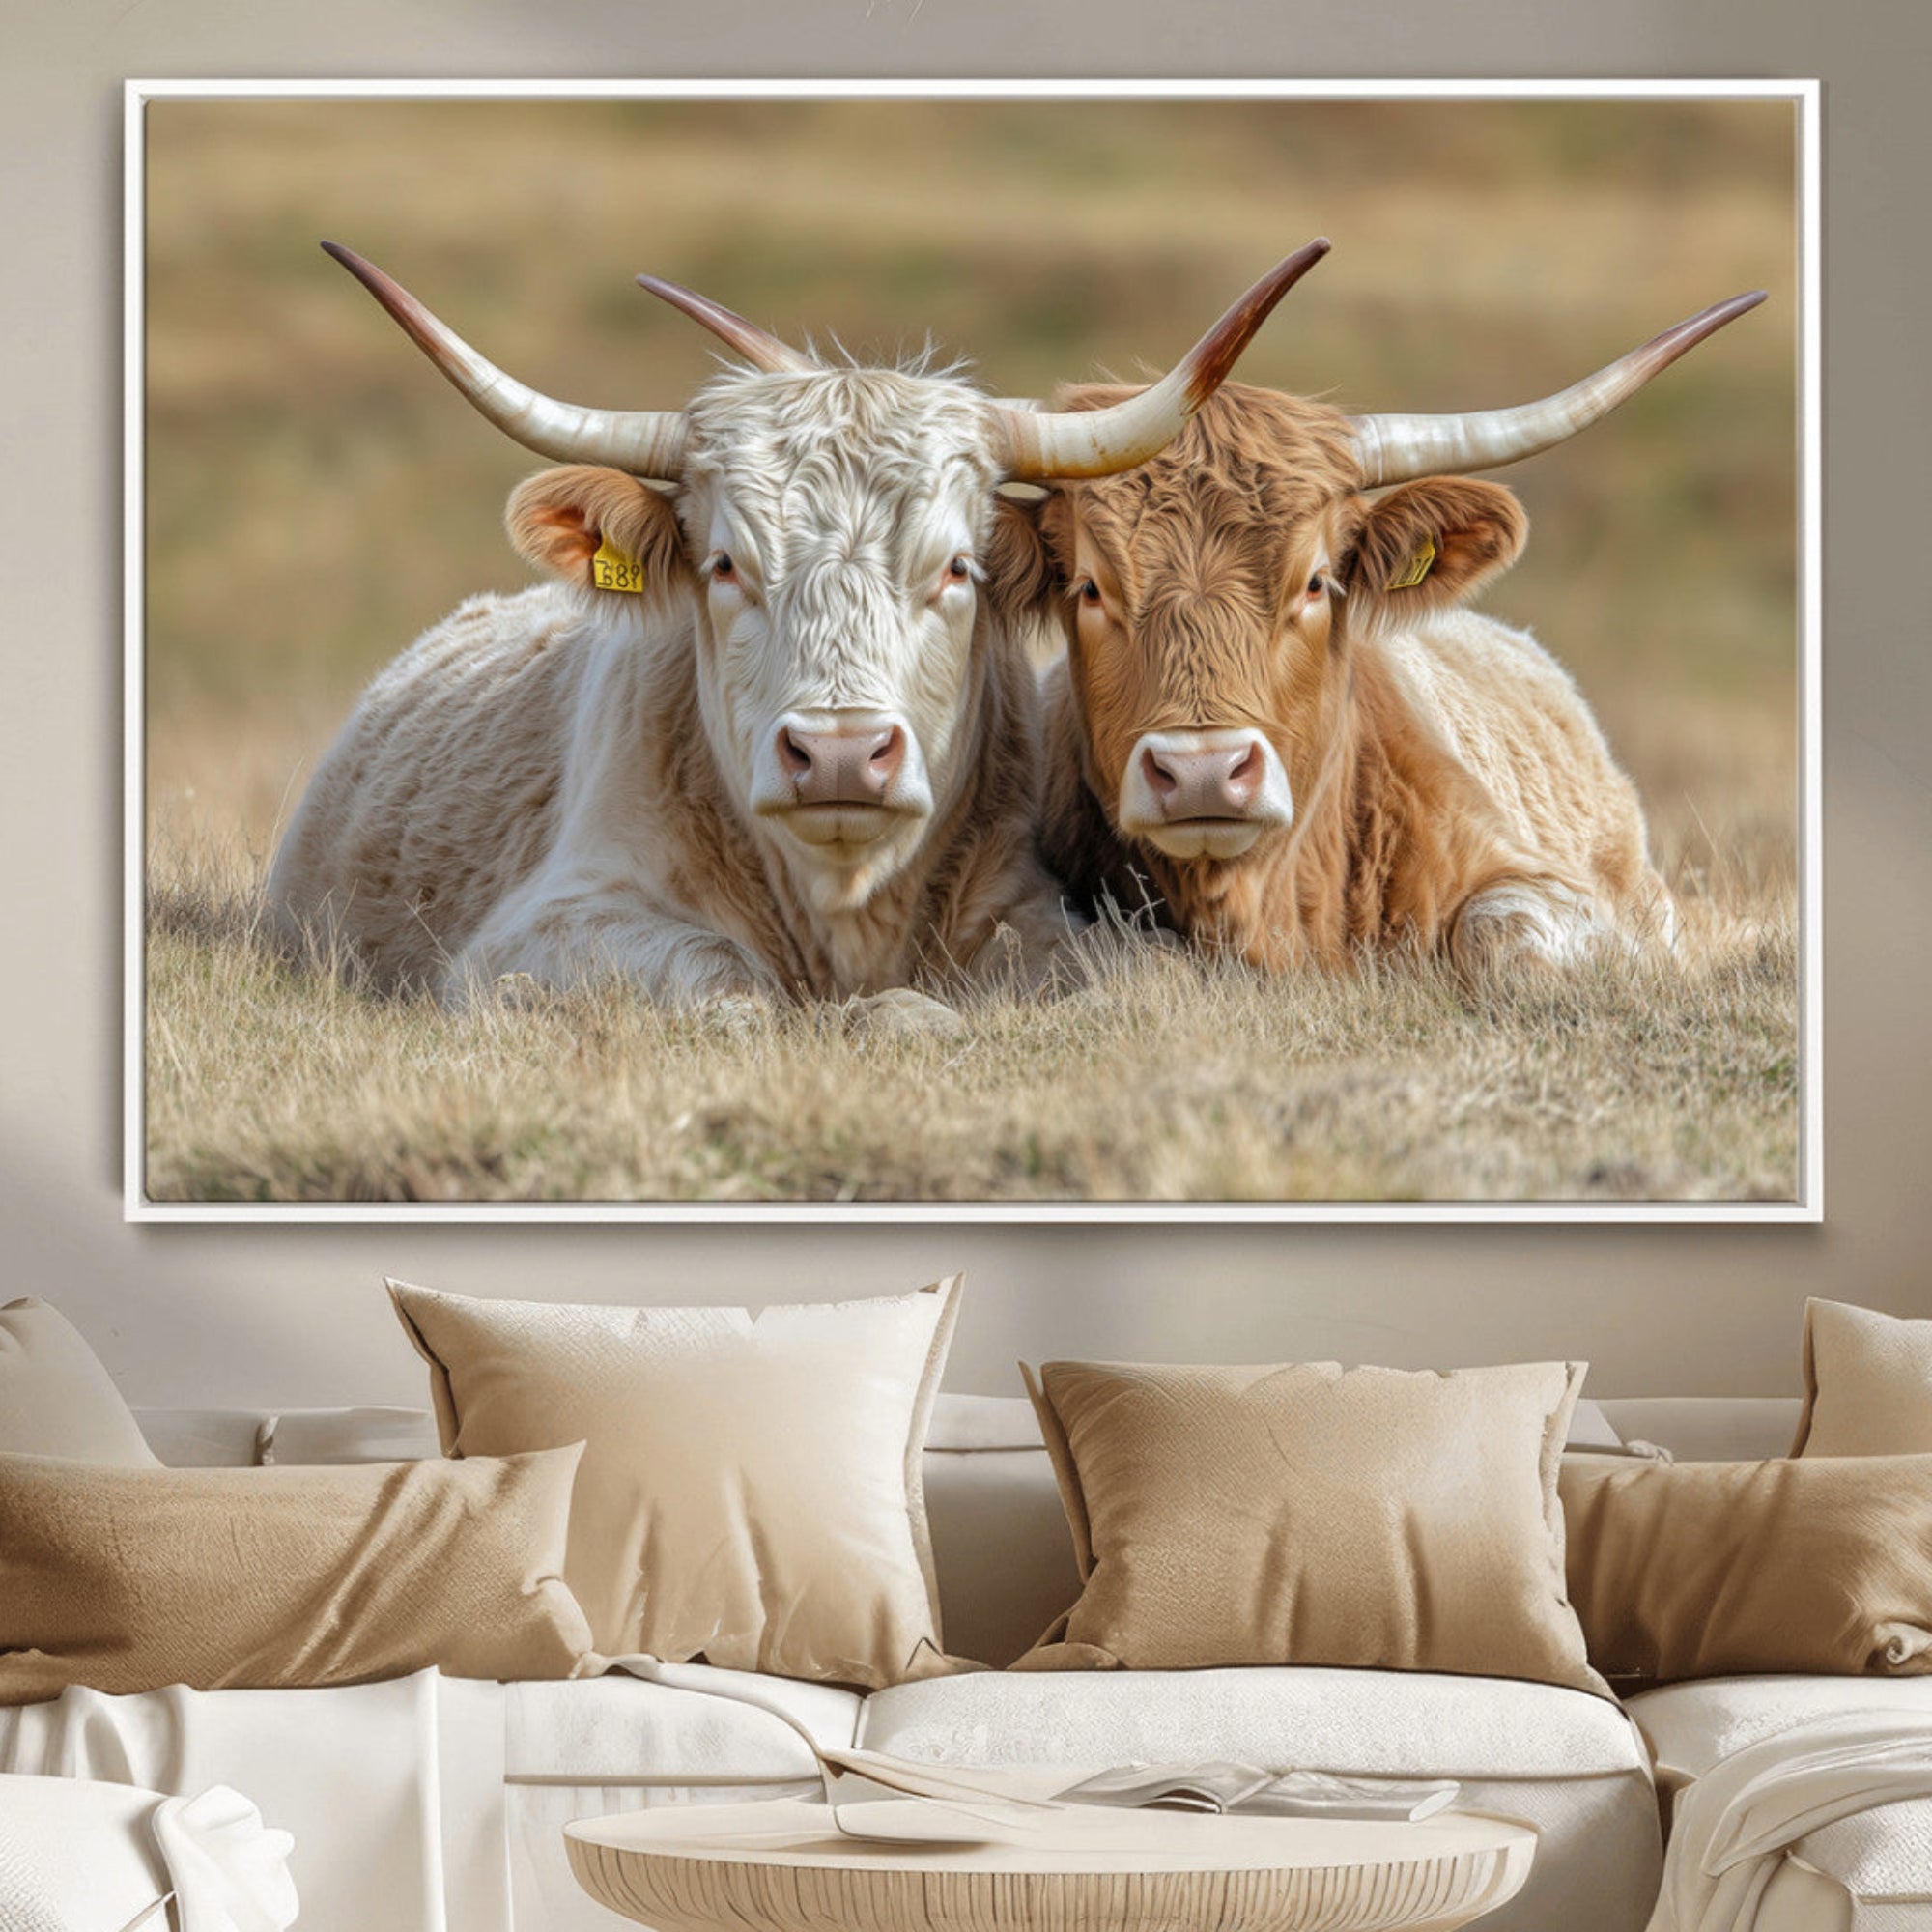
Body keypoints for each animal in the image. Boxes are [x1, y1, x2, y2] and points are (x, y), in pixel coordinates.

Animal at [266, 239, 1330, 1024]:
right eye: (726, 565)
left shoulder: (1039, 910)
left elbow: (1128, 978)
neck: (844, 904)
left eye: (957, 567)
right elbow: (721, 980)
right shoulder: (549, 925)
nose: (839, 754)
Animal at [1012, 290, 1766, 973]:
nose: (1203, 773)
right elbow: (1129, 952)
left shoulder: (1551, 890)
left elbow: (1500, 935)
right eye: (1090, 588)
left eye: (1316, 582)